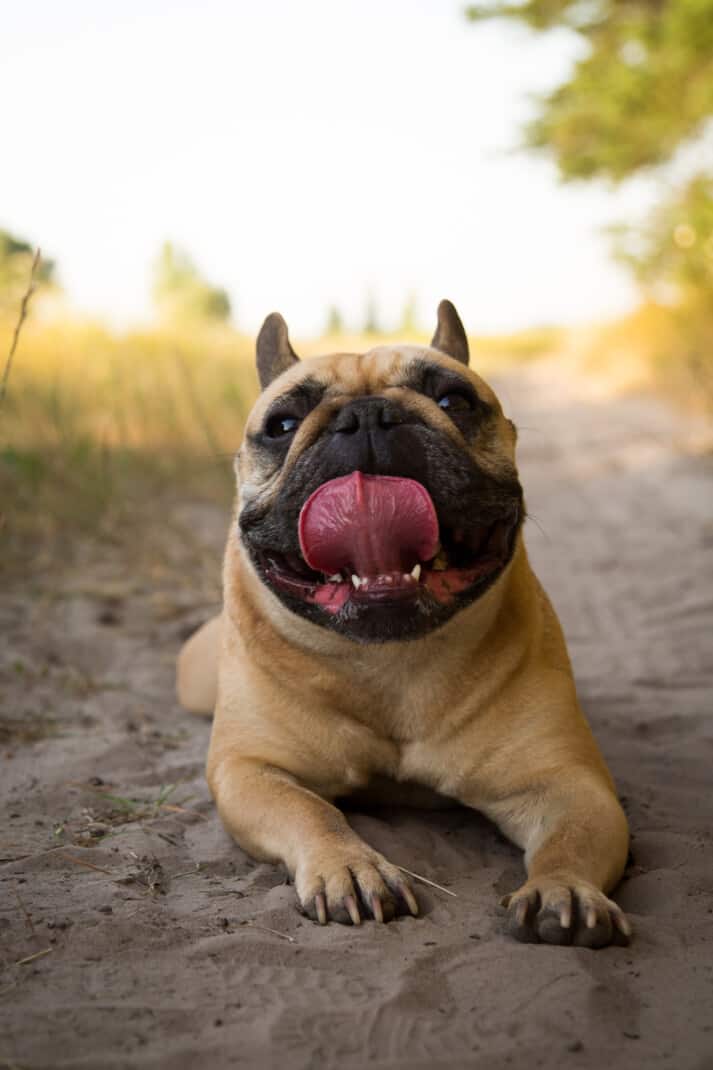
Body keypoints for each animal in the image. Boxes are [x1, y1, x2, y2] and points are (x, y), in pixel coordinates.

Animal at [177, 299, 629, 945]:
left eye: (453, 400)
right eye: (283, 424)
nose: (367, 415)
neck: (387, 657)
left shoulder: (569, 784)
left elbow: (569, 840)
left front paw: (563, 888)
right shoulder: (250, 771)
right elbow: (311, 810)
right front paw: (350, 867)